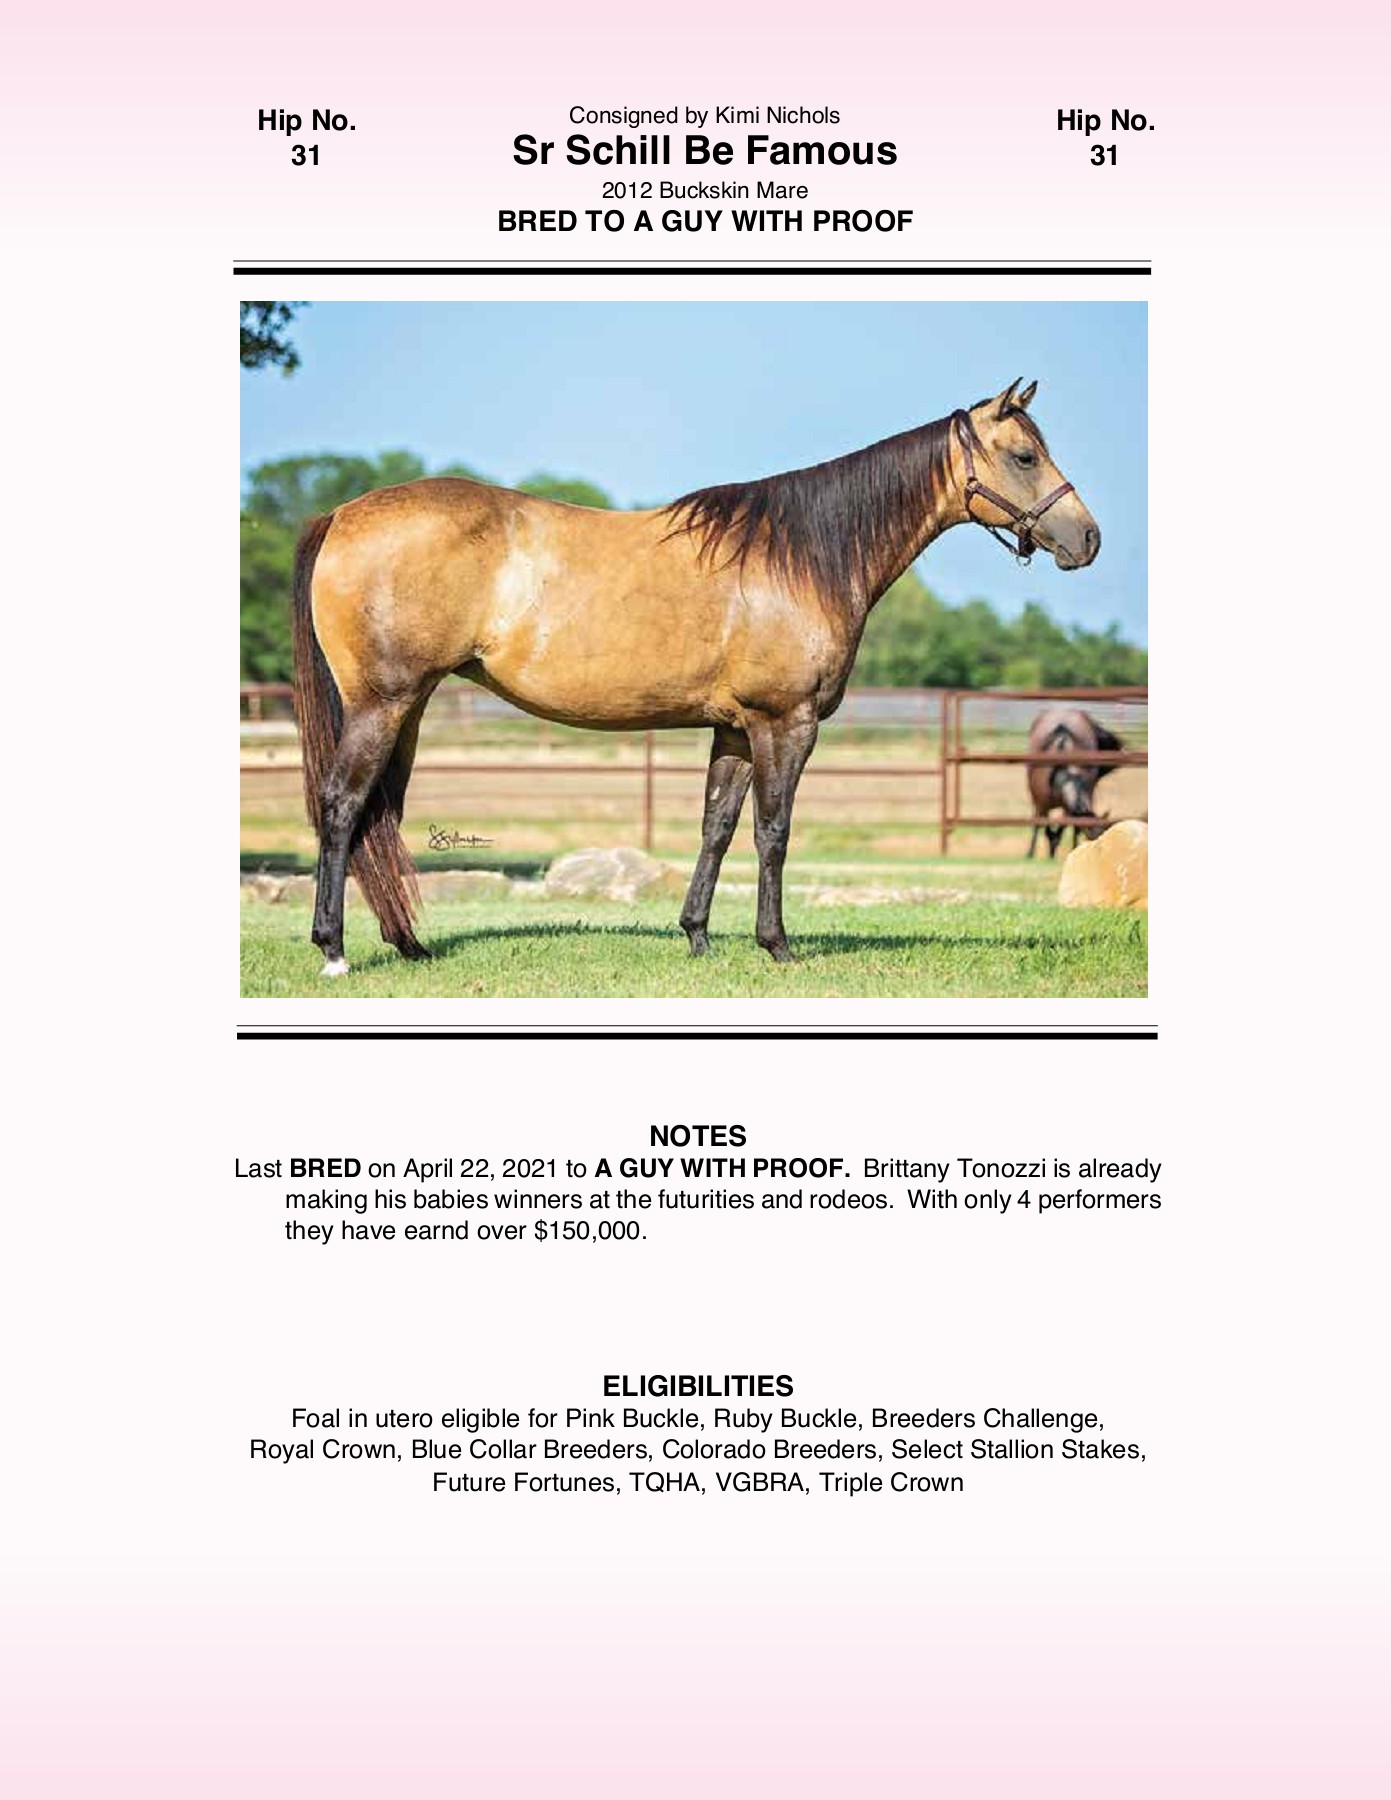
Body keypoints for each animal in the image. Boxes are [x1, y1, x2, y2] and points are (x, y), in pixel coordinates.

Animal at [290, 378, 1100, 976]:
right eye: (1024, 456)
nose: (1087, 540)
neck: (801, 558)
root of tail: (343, 513)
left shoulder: (734, 730)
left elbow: (716, 826)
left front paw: (698, 936)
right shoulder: (784, 723)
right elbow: (773, 831)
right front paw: (777, 946)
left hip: (409, 706)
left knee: (378, 815)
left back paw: (408, 946)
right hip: (381, 704)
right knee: (342, 805)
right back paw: (333, 950)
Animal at [1025, 707, 1124, 858]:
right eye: (1093, 836)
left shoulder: (1068, 808)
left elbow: (1069, 826)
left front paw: (1072, 847)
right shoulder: (1040, 801)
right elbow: (1040, 824)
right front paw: (1031, 853)